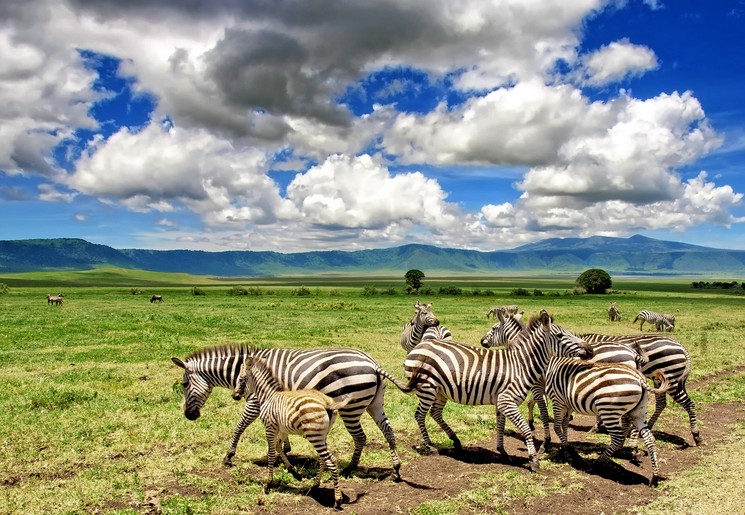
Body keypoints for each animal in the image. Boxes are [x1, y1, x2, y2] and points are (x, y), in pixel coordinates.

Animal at [170, 344, 412, 478]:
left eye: (184, 384)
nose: (189, 416)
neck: (245, 370)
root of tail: (373, 363)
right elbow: (280, 431)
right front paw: (285, 449)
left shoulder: (255, 401)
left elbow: (239, 426)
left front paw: (228, 456)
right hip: (375, 404)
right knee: (388, 431)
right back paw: (396, 469)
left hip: (351, 408)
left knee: (360, 437)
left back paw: (350, 468)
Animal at [232, 356, 348, 510]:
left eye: (241, 379)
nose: (234, 395)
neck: (268, 396)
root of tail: (327, 403)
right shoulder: (281, 429)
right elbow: (278, 447)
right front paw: (293, 471)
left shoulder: (270, 428)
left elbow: (271, 454)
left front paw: (268, 484)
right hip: (322, 435)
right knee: (324, 458)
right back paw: (314, 486)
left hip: (314, 435)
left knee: (331, 460)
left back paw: (337, 500)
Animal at [402, 308, 592, 474]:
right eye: (560, 335)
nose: (590, 350)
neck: (520, 365)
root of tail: (420, 345)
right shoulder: (507, 400)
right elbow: (525, 428)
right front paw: (533, 460)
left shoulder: (501, 401)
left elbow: (501, 425)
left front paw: (503, 452)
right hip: (427, 388)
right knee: (419, 415)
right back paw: (431, 446)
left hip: (441, 391)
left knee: (435, 413)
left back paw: (455, 440)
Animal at [540, 358, 668, 488]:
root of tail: (640, 379)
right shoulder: (568, 403)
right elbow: (564, 424)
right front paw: (565, 447)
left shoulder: (557, 401)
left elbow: (557, 427)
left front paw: (569, 449)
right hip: (639, 413)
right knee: (650, 439)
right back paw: (655, 477)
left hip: (609, 410)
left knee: (618, 439)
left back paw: (596, 463)